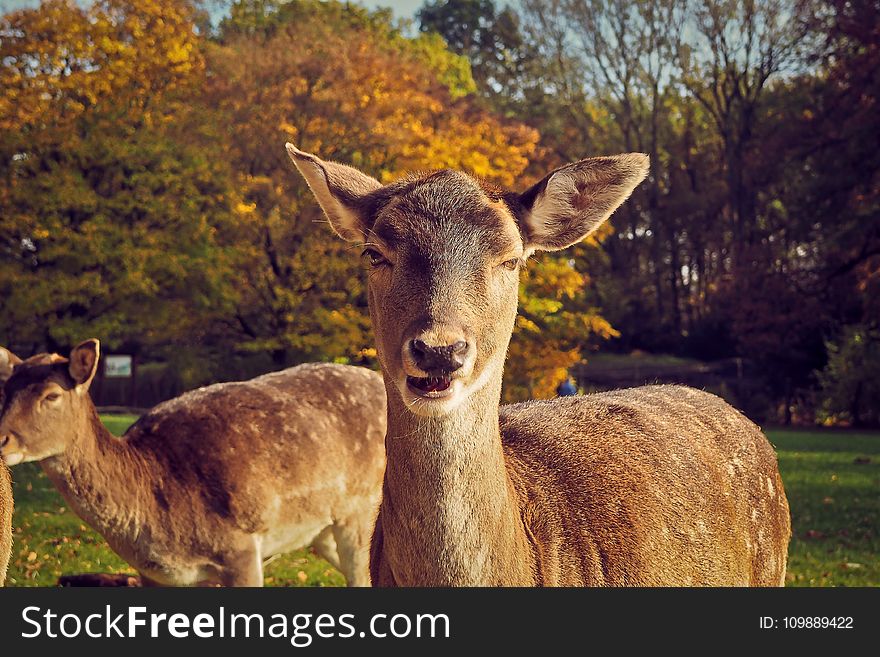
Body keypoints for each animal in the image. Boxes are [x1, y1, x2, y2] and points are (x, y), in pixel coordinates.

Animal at [0, 338, 384, 584]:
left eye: (51, 396)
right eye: (5, 392)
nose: (2, 438)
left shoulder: (241, 550)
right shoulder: (155, 576)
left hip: (361, 509)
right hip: (321, 529)